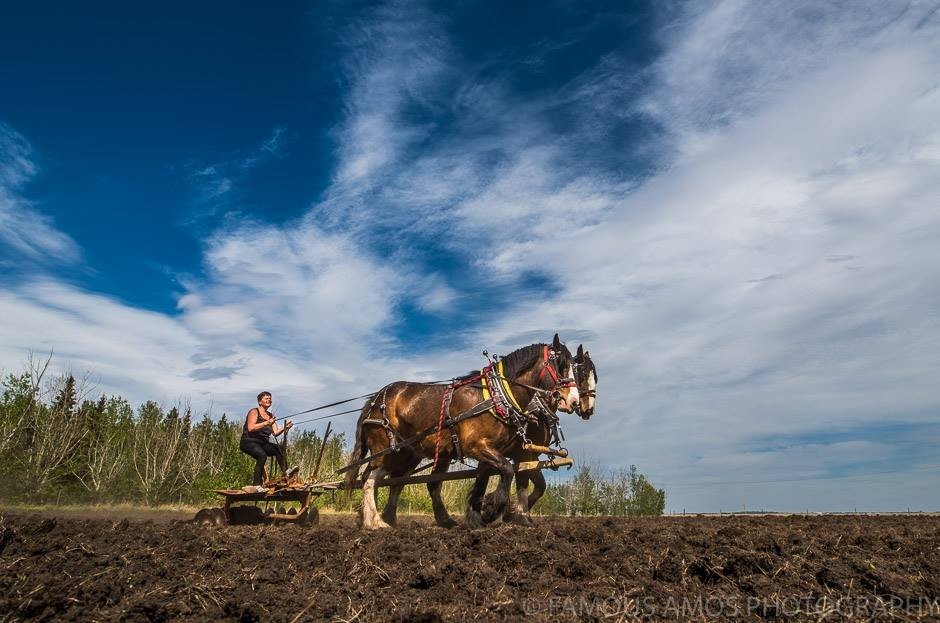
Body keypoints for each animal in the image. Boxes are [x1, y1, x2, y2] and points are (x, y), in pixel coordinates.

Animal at [344, 334, 579, 529]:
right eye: (561, 366)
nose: (574, 401)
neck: (496, 397)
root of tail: (374, 399)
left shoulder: (491, 452)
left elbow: (484, 480)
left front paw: (478, 516)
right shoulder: (478, 446)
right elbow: (507, 471)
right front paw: (493, 510)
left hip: (406, 455)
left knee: (391, 480)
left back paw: (380, 518)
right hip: (385, 450)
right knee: (369, 478)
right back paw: (375, 522)